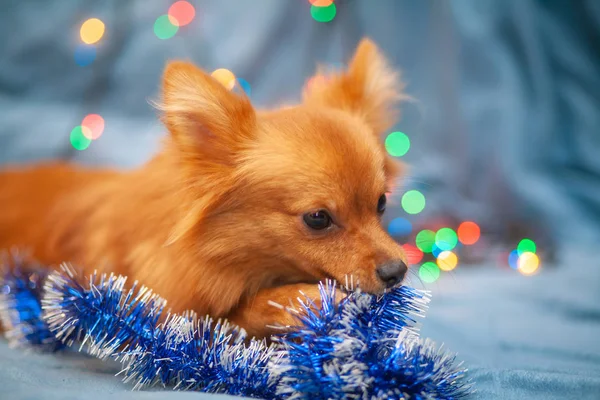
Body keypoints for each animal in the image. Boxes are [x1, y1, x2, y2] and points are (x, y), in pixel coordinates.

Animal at [0, 38, 408, 338]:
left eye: (381, 203)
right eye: (318, 218)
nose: (398, 271)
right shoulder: (169, 314)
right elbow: (236, 313)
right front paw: (302, 299)